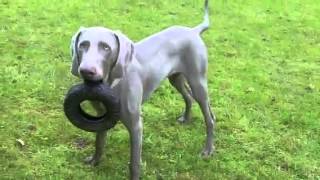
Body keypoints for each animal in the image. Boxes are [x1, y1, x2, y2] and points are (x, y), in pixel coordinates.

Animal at [70, 0, 215, 179]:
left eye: (106, 48)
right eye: (83, 45)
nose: (86, 71)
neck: (111, 84)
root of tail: (193, 31)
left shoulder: (136, 125)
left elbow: (134, 162)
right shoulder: (101, 117)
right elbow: (99, 141)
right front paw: (95, 161)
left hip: (198, 82)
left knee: (209, 117)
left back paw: (208, 150)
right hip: (175, 78)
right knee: (188, 97)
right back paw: (185, 119)